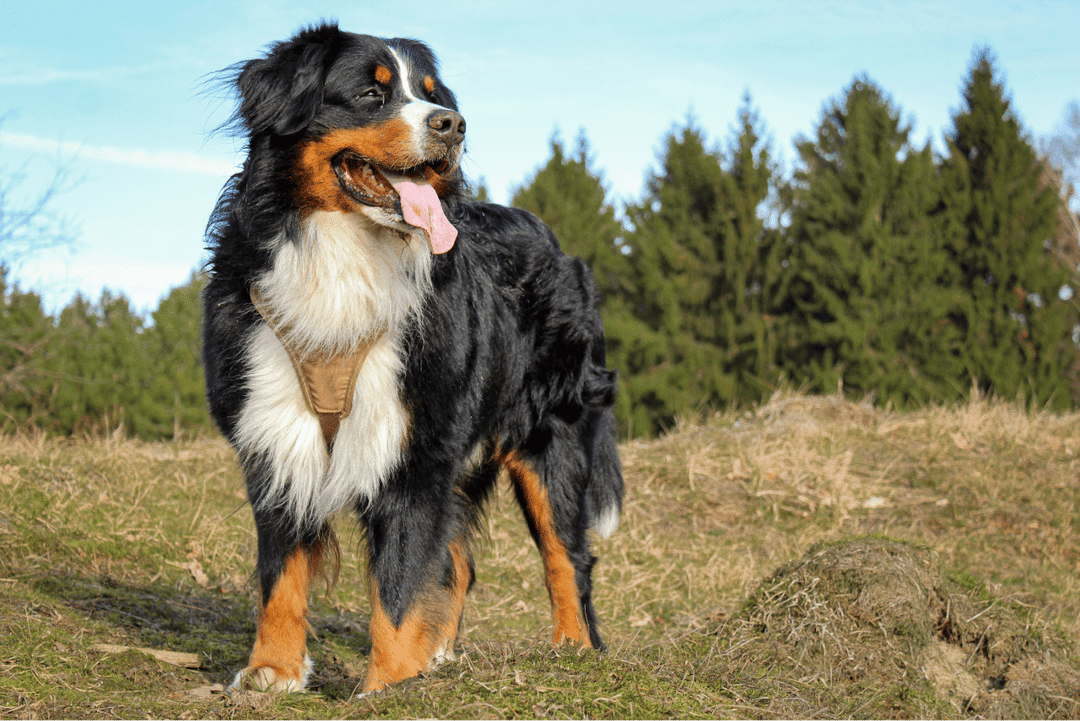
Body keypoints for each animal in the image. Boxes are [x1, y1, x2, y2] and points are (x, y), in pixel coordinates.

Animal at [203, 21, 626, 690]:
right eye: (371, 94)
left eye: (432, 95)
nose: (452, 124)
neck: (344, 259)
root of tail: (561, 246)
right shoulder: (274, 432)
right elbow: (281, 570)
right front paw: (272, 672)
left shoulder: (412, 444)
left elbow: (400, 584)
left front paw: (387, 689)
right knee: (458, 562)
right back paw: (441, 657)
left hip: (550, 435)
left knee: (568, 556)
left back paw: (574, 650)